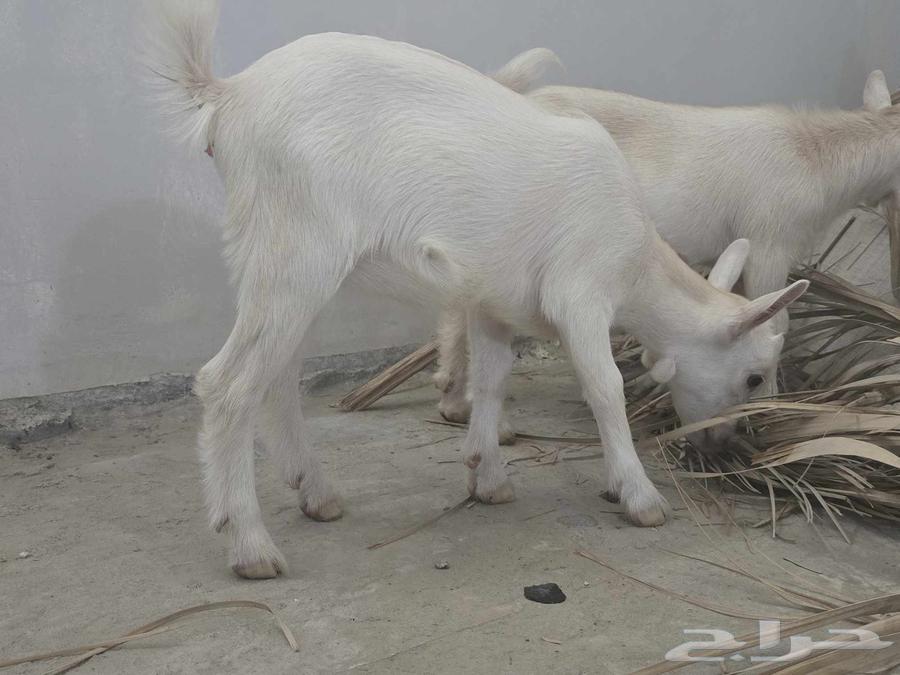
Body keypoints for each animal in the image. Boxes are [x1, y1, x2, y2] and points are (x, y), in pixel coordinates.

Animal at [145, 2, 807, 578]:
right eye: (754, 376)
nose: (732, 446)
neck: (636, 256)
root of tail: (228, 94)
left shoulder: (494, 304)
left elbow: (492, 380)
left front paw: (487, 476)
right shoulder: (579, 293)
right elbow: (605, 387)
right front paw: (638, 495)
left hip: (277, 261)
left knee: (277, 374)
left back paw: (316, 493)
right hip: (298, 247)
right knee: (229, 383)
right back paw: (250, 545)